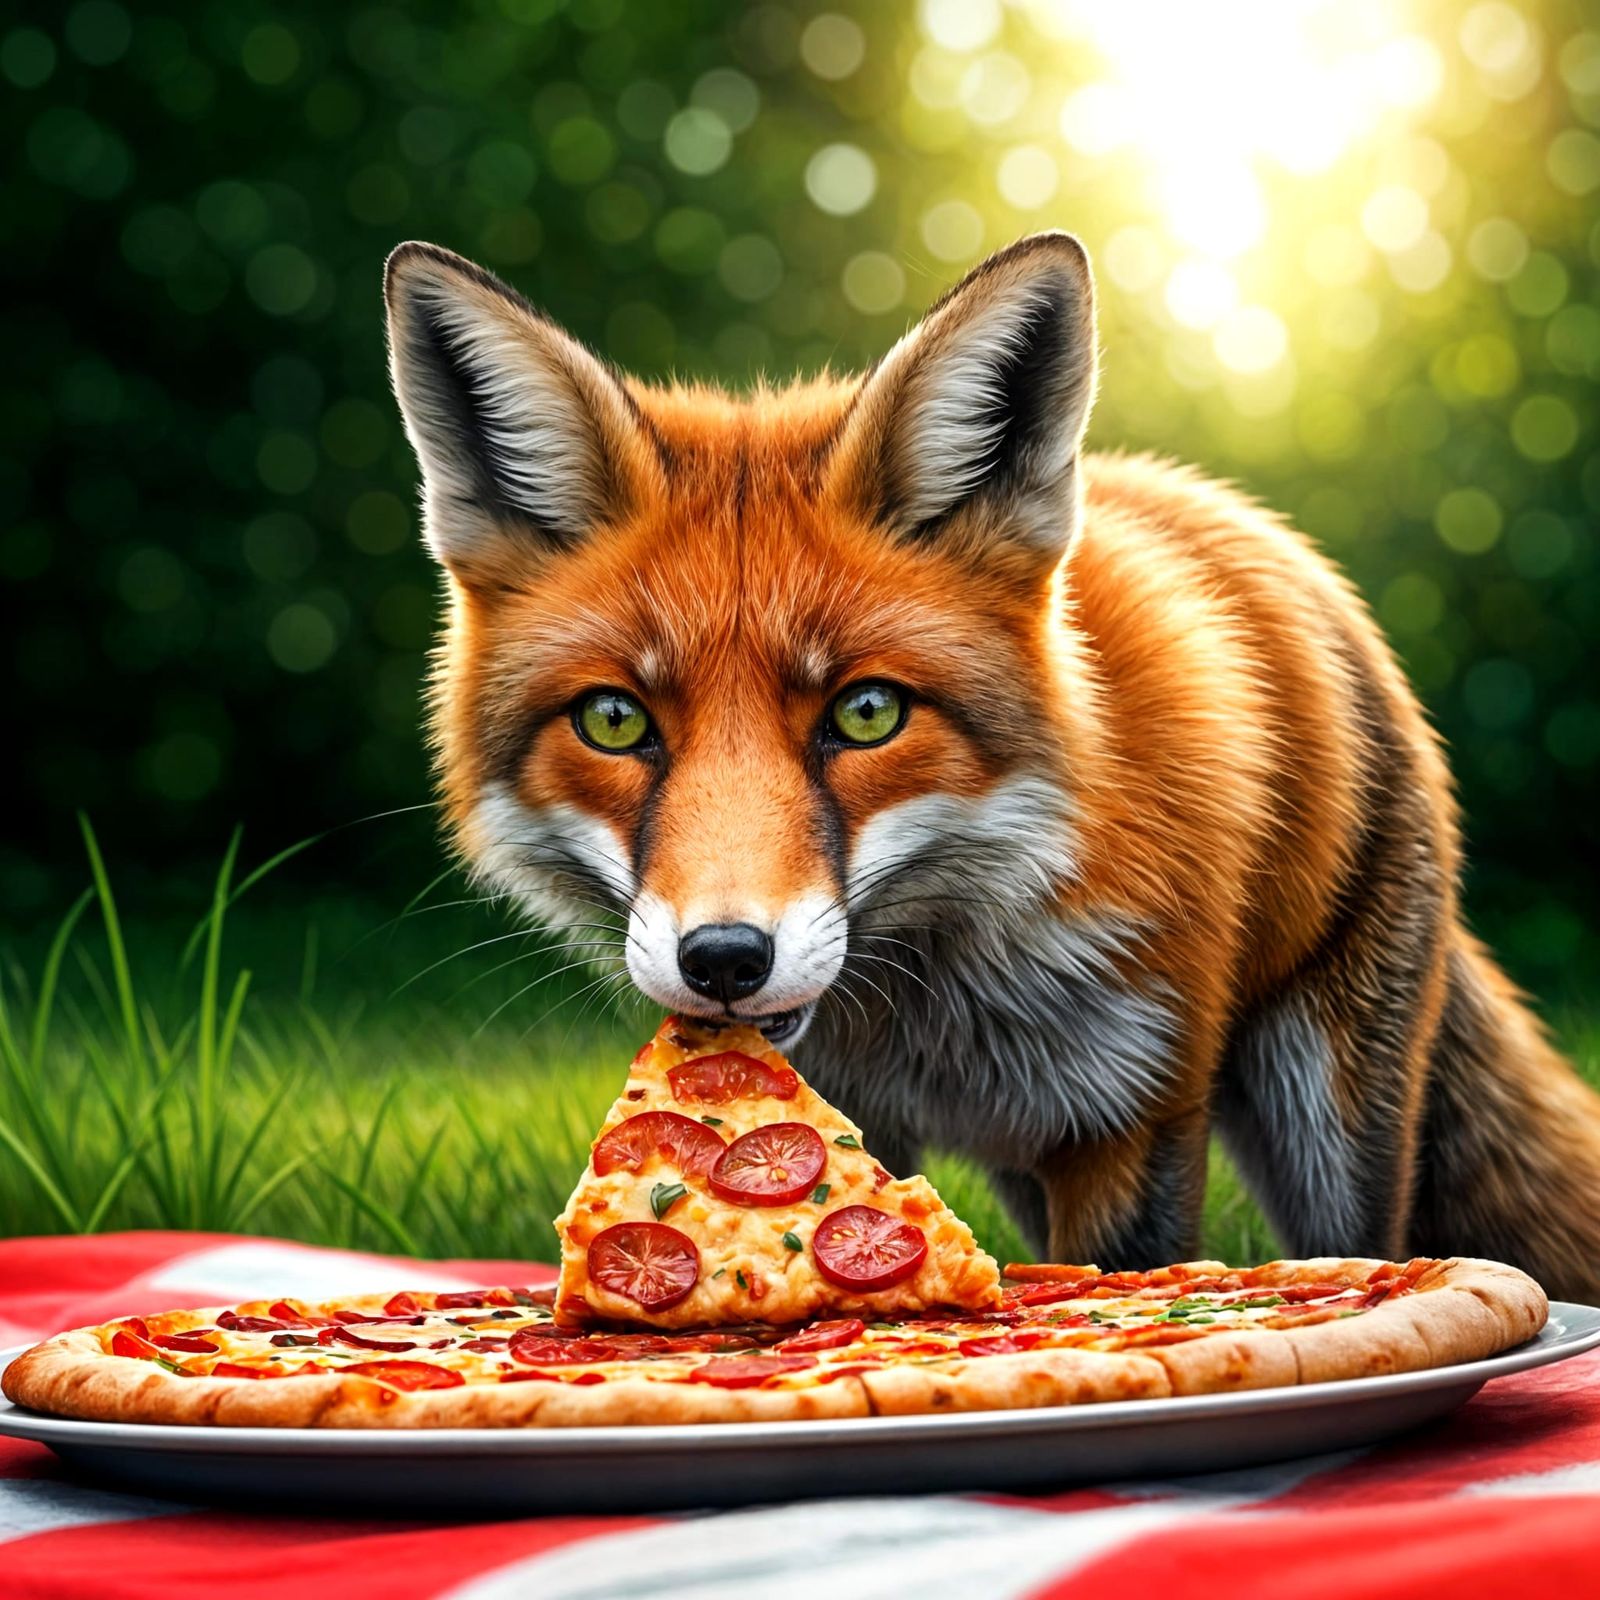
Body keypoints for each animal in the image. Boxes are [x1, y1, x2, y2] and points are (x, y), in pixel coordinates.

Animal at [383, 231, 1600, 1303]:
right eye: (615, 720)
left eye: (867, 711)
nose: (724, 959)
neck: (939, 1007)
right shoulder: (866, 1116)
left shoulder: (1133, 1109)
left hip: (1328, 1101)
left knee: (1358, 1232)